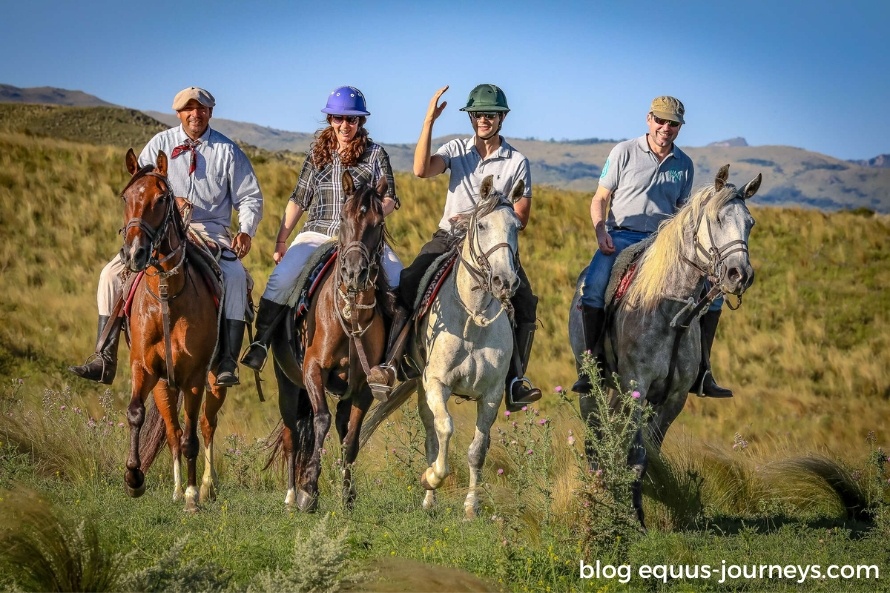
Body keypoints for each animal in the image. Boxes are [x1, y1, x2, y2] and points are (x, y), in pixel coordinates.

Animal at [119, 147, 225, 508]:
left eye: (162, 198)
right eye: (125, 197)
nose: (134, 253)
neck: (167, 294)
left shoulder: (194, 377)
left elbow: (194, 436)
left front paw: (193, 496)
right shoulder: (144, 369)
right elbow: (136, 414)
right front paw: (134, 478)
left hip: (213, 382)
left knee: (206, 426)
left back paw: (204, 487)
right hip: (166, 386)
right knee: (173, 431)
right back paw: (178, 489)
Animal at [266, 170, 386, 508]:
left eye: (379, 222)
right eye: (343, 217)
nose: (355, 272)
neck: (350, 314)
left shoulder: (363, 387)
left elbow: (351, 440)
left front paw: (347, 497)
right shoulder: (312, 370)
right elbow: (320, 420)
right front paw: (309, 488)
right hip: (287, 383)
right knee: (292, 436)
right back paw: (291, 495)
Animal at [568, 164, 756, 524]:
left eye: (749, 223)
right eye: (716, 218)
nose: (740, 275)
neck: (670, 310)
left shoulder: (674, 398)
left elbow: (649, 455)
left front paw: (642, 505)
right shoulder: (637, 387)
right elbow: (638, 453)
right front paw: (634, 518)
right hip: (593, 387)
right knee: (594, 437)